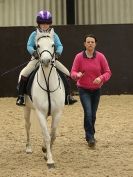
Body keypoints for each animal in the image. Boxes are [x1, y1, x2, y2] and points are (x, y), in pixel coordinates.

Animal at [24, 28, 65, 168]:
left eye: (53, 45)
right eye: (37, 46)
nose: (46, 61)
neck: (47, 83)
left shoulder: (57, 112)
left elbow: (52, 135)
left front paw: (47, 154)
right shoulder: (40, 112)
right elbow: (47, 136)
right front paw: (50, 160)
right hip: (27, 108)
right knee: (28, 125)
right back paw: (28, 148)